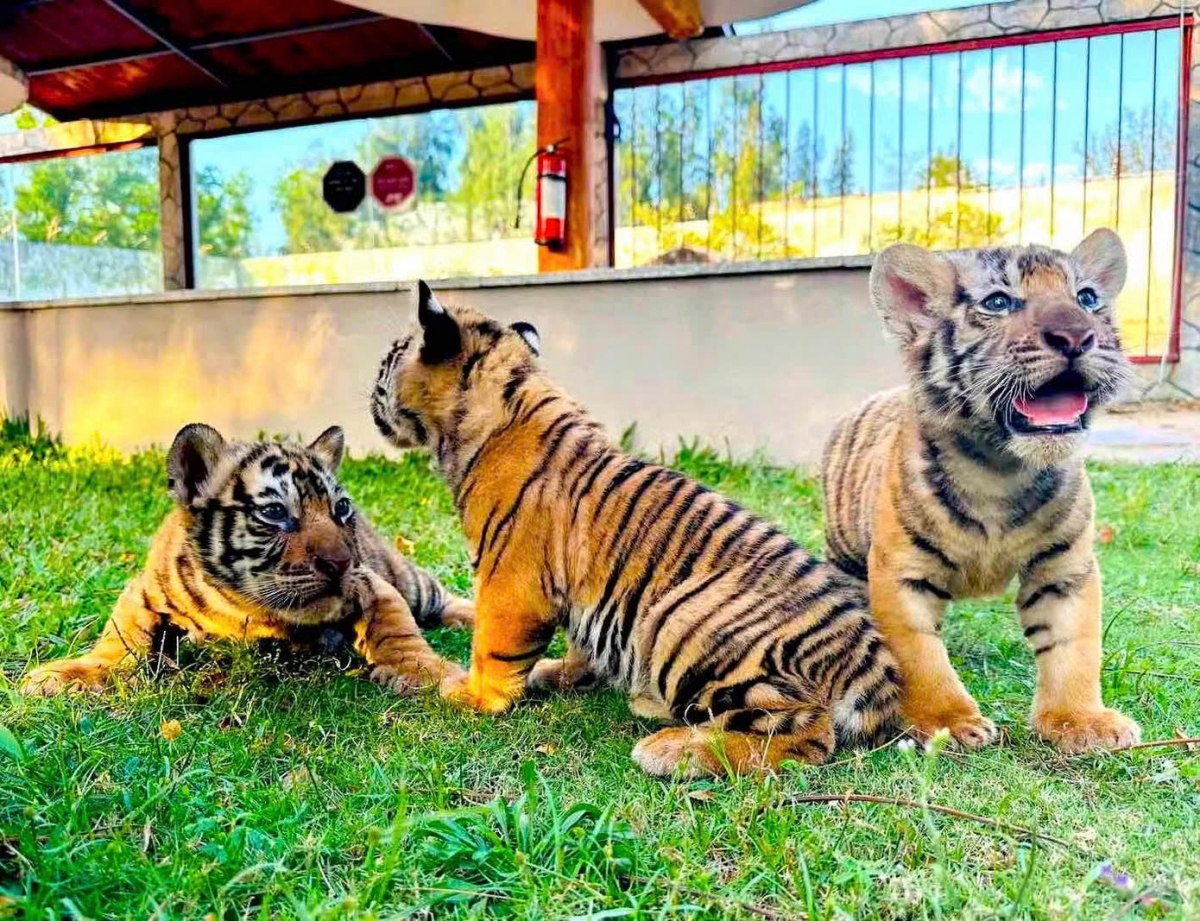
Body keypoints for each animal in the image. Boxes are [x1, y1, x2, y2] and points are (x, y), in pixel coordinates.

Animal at [21, 424, 472, 697]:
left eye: (341, 509)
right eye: (274, 513)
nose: (341, 563)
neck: (245, 608)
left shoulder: (373, 584)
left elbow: (399, 632)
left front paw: (438, 676)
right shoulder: (143, 591)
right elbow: (118, 639)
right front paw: (66, 675)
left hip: (408, 577)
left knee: (443, 596)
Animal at [368, 281, 902, 778]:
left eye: (388, 360)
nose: (370, 388)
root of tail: (872, 667)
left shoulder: (509, 580)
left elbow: (492, 646)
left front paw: (473, 695)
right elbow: (581, 643)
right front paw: (561, 673)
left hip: (680, 617)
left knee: (805, 731)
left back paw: (672, 750)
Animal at [821, 228, 1141, 753]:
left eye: (1087, 298)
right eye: (998, 302)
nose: (1076, 337)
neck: (999, 468)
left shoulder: (1065, 567)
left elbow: (1073, 646)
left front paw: (1080, 721)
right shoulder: (900, 570)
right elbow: (917, 653)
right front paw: (946, 722)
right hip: (844, 550)